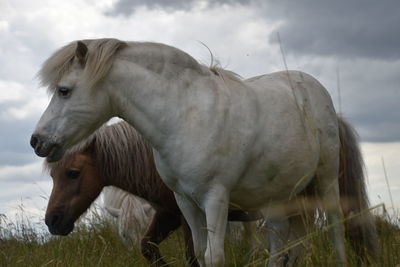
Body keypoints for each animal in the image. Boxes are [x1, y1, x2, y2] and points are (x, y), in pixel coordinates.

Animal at [43, 122, 262, 267]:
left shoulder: (188, 216)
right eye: (52, 175)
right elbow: (147, 247)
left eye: (73, 173)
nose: (52, 220)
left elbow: (192, 256)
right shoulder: (168, 214)